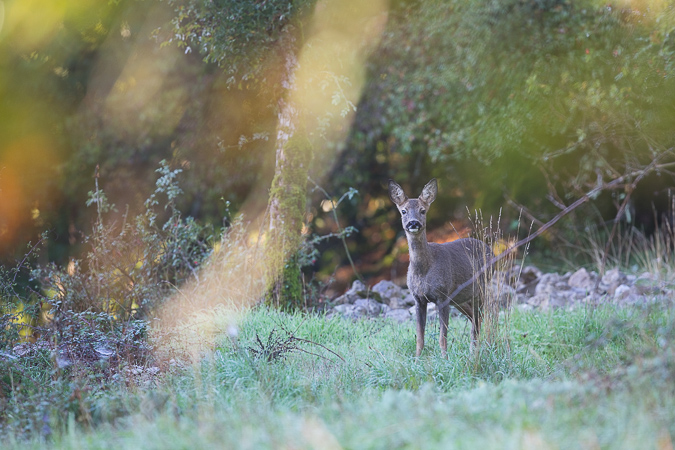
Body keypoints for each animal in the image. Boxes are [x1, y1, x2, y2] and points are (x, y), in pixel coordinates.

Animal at [388, 178, 494, 356]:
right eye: (403, 211)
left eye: (423, 210)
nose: (413, 223)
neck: (423, 271)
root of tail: (490, 250)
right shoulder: (418, 299)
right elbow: (420, 338)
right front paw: (417, 359)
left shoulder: (443, 296)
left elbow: (442, 337)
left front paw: (445, 358)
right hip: (460, 298)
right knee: (474, 318)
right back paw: (474, 350)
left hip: (481, 288)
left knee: (482, 317)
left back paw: (478, 350)